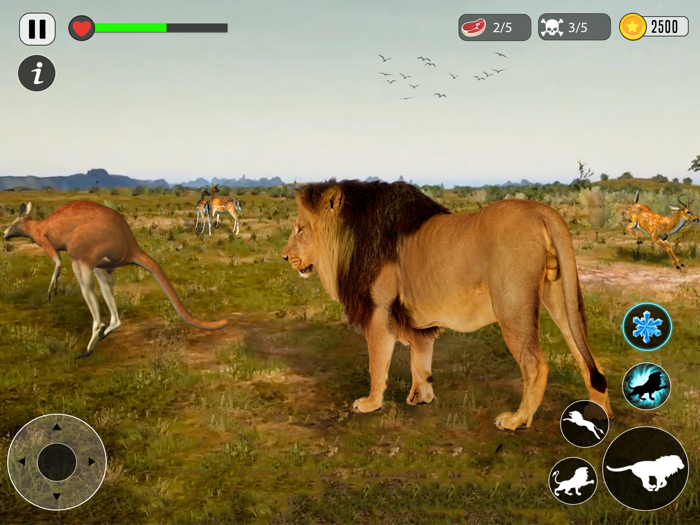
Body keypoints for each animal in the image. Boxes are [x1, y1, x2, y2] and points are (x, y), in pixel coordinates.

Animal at [281, 179, 612, 430]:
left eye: (299, 228)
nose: (284, 257)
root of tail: (543, 211)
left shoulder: (378, 311)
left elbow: (377, 363)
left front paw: (370, 404)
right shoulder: (414, 317)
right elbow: (420, 359)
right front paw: (422, 396)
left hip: (512, 305)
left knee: (536, 365)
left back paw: (517, 420)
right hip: (560, 299)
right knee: (587, 357)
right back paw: (599, 415)